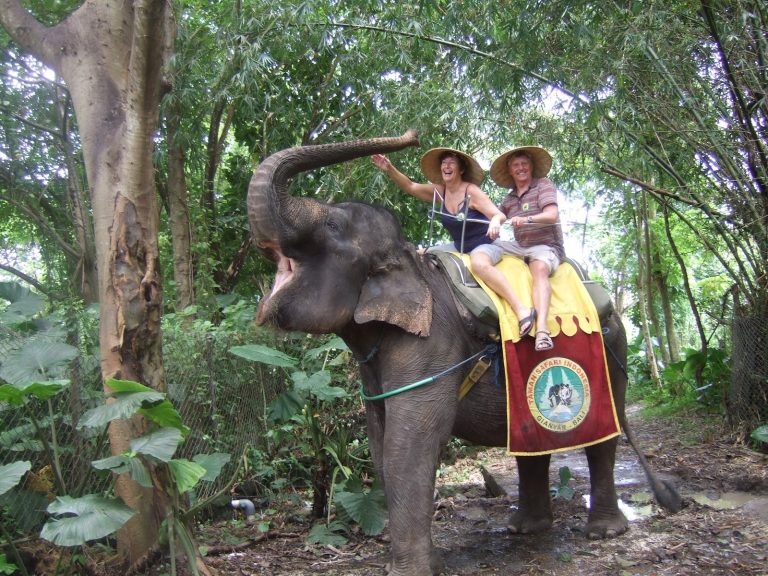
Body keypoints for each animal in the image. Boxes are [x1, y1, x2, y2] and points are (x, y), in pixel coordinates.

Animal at [244, 130, 680, 576]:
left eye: (331, 226)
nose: (411, 136)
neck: (411, 264)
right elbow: (380, 445)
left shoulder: (432, 347)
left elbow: (408, 445)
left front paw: (413, 571)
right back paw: (525, 527)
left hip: (612, 353)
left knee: (604, 438)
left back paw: (602, 532)